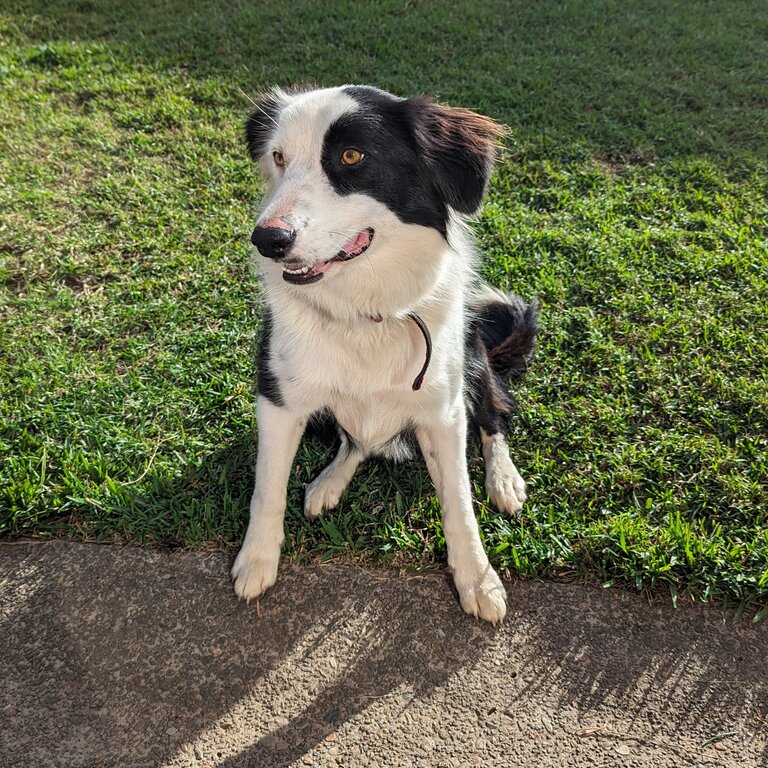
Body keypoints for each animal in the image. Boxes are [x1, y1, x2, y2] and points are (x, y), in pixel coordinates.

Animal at [231, 85, 536, 624]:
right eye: (279, 157)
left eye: (353, 157)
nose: (267, 239)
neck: (364, 312)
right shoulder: (279, 398)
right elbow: (267, 487)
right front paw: (257, 560)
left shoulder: (443, 411)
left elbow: (459, 502)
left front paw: (478, 579)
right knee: (356, 440)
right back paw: (329, 482)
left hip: (473, 356)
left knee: (495, 416)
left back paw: (504, 479)